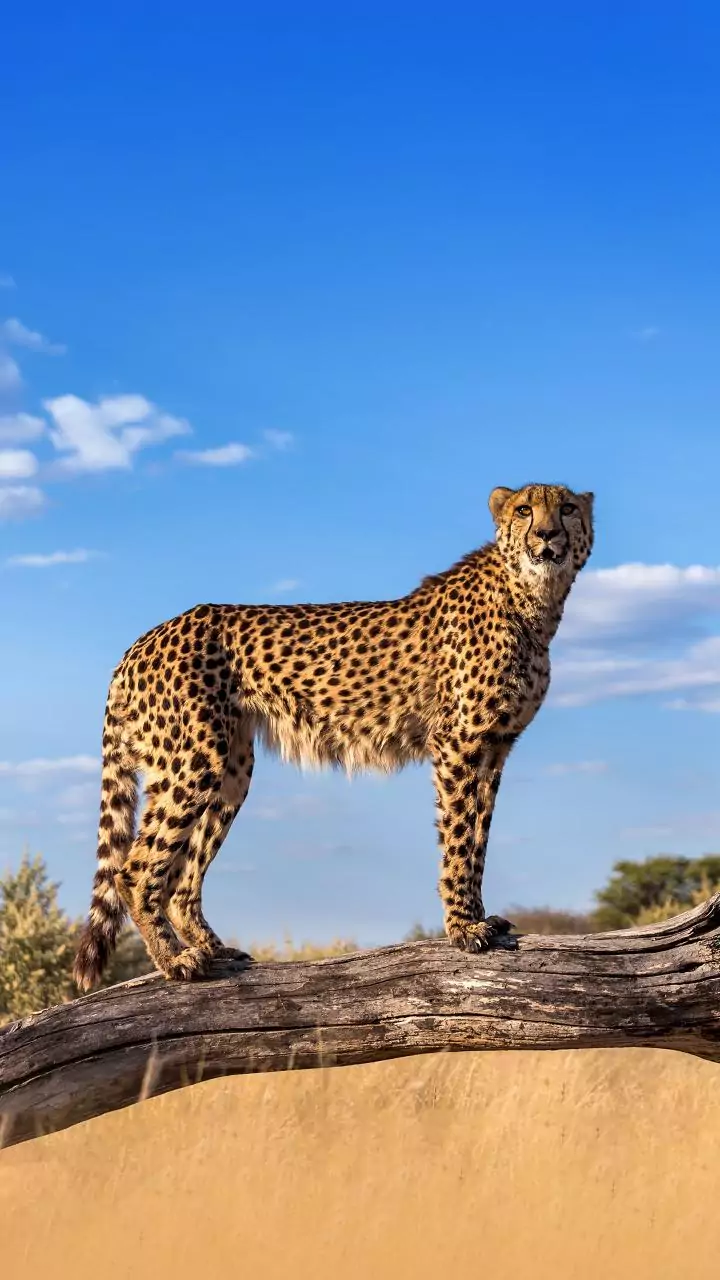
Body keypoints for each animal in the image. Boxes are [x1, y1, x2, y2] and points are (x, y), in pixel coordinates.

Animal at [73, 481, 594, 991]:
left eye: (567, 508)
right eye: (525, 510)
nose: (547, 534)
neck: (532, 599)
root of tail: (141, 642)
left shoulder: (495, 747)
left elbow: (479, 839)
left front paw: (479, 917)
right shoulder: (459, 743)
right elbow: (459, 838)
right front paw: (464, 927)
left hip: (232, 769)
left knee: (182, 878)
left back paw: (212, 949)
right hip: (195, 759)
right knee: (134, 868)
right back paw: (176, 960)